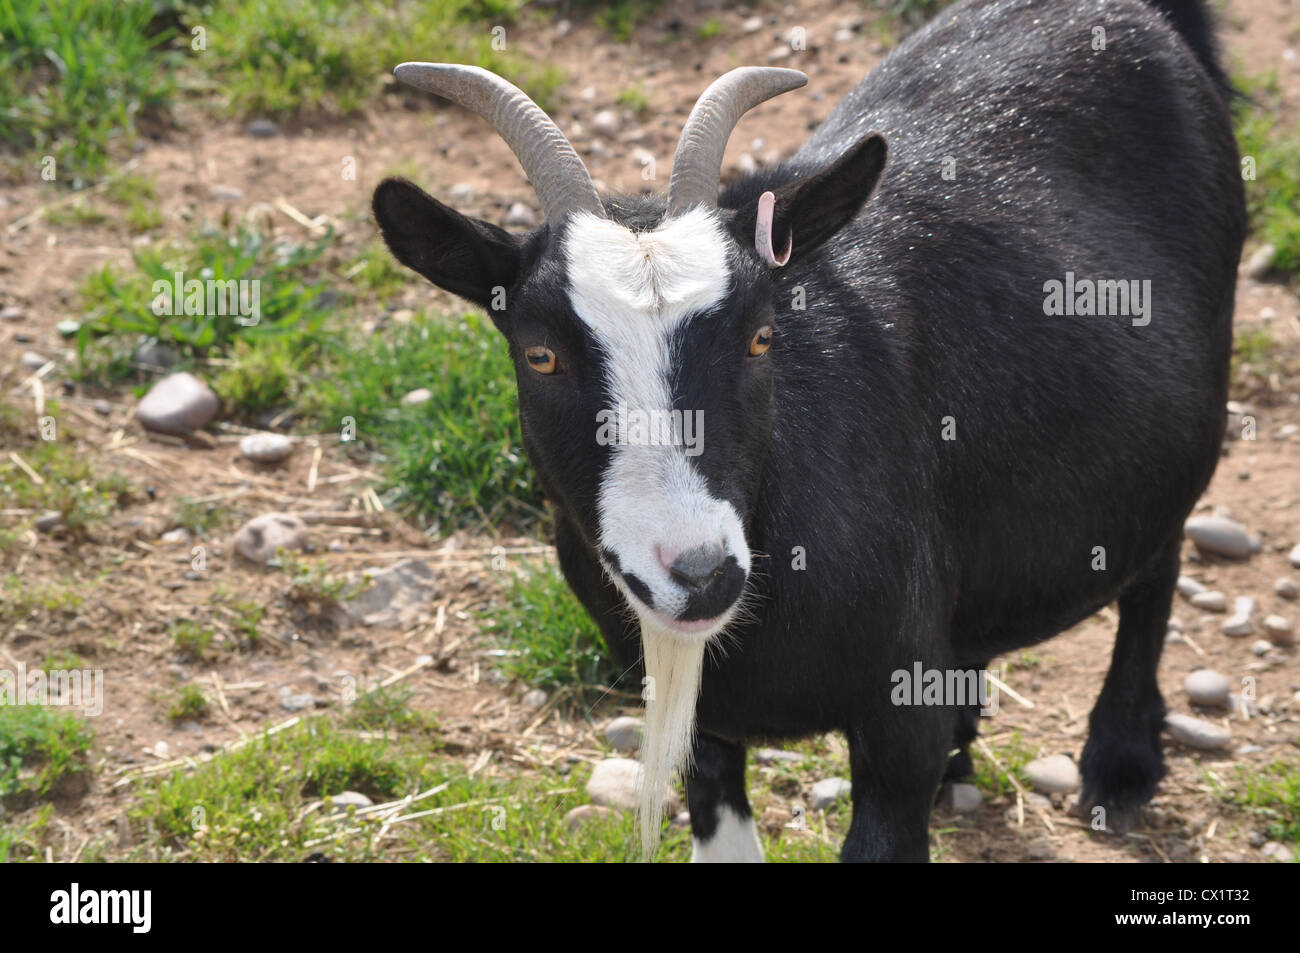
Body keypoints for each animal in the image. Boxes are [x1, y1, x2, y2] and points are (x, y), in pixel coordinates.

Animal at [374, 0, 1248, 863]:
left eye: (762, 335)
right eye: (540, 353)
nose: (700, 573)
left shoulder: (895, 721)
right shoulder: (705, 724)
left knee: (1159, 560)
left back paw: (1122, 759)